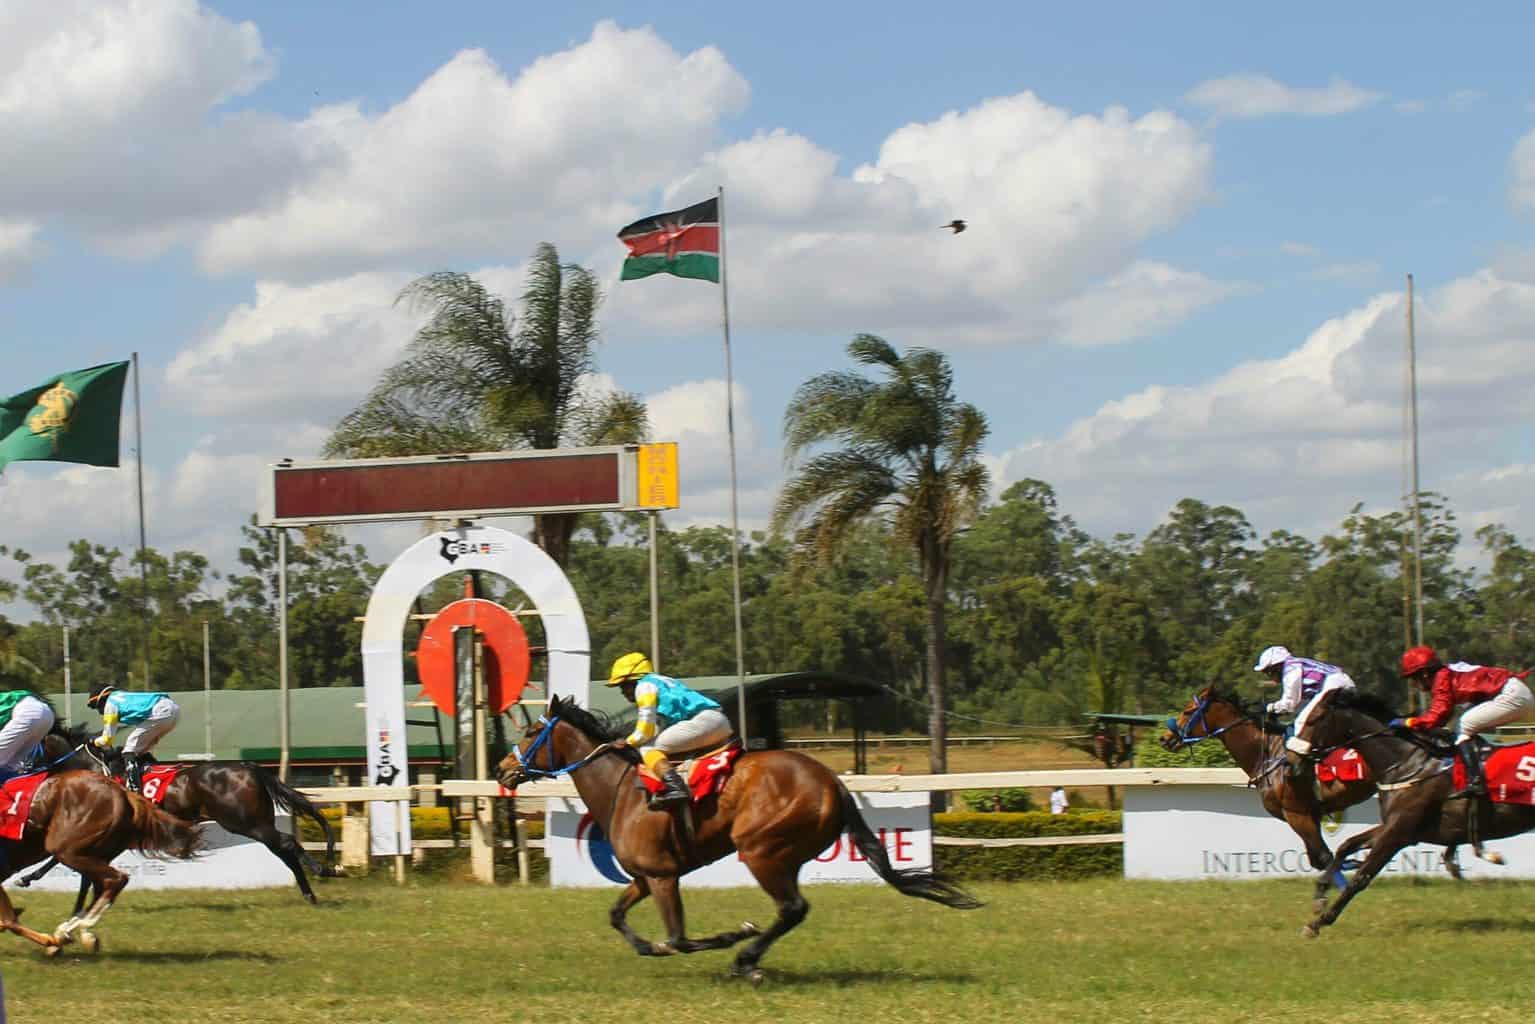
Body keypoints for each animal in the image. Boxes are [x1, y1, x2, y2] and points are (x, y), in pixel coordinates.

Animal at [0, 761, 201, 951]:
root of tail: (124, 793)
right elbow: (8, 920)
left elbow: (10, 921)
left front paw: (52, 942)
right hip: (98, 851)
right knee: (100, 885)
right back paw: (72, 930)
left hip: (67, 849)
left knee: (116, 879)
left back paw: (76, 928)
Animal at [21, 727, 339, 902]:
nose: (22, 768)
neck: (92, 769)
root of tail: (250, 767)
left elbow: (59, 855)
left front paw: (28, 876)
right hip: (256, 822)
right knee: (283, 849)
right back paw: (309, 891)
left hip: (246, 822)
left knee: (287, 842)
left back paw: (322, 870)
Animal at [503, 696, 982, 982]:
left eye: (529, 733)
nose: (504, 770)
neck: (620, 791)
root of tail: (833, 782)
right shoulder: (644, 877)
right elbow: (618, 917)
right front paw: (649, 946)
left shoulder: (662, 877)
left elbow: (678, 939)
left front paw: (732, 937)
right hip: (783, 854)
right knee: (793, 910)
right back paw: (749, 959)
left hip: (762, 850)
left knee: (792, 908)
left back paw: (746, 959)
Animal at [1283, 687, 1535, 939]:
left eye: (1314, 719)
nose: (1290, 762)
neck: (1407, 763)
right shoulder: (1398, 828)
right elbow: (1347, 845)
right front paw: (1320, 893)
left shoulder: (1398, 833)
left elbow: (1362, 877)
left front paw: (1318, 923)